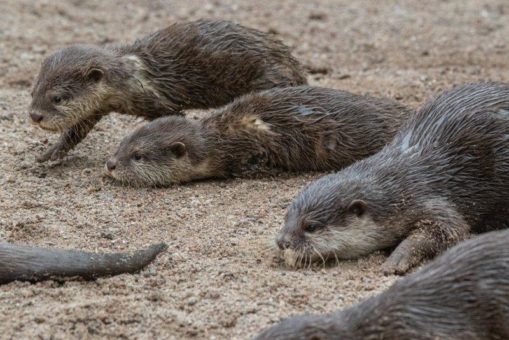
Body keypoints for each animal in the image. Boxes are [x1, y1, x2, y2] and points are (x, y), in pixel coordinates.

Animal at [28, 19, 306, 162]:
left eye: (58, 98)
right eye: (32, 92)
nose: (35, 116)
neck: (131, 78)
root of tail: (293, 64)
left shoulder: (157, 101)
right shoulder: (97, 108)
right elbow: (75, 132)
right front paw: (49, 154)